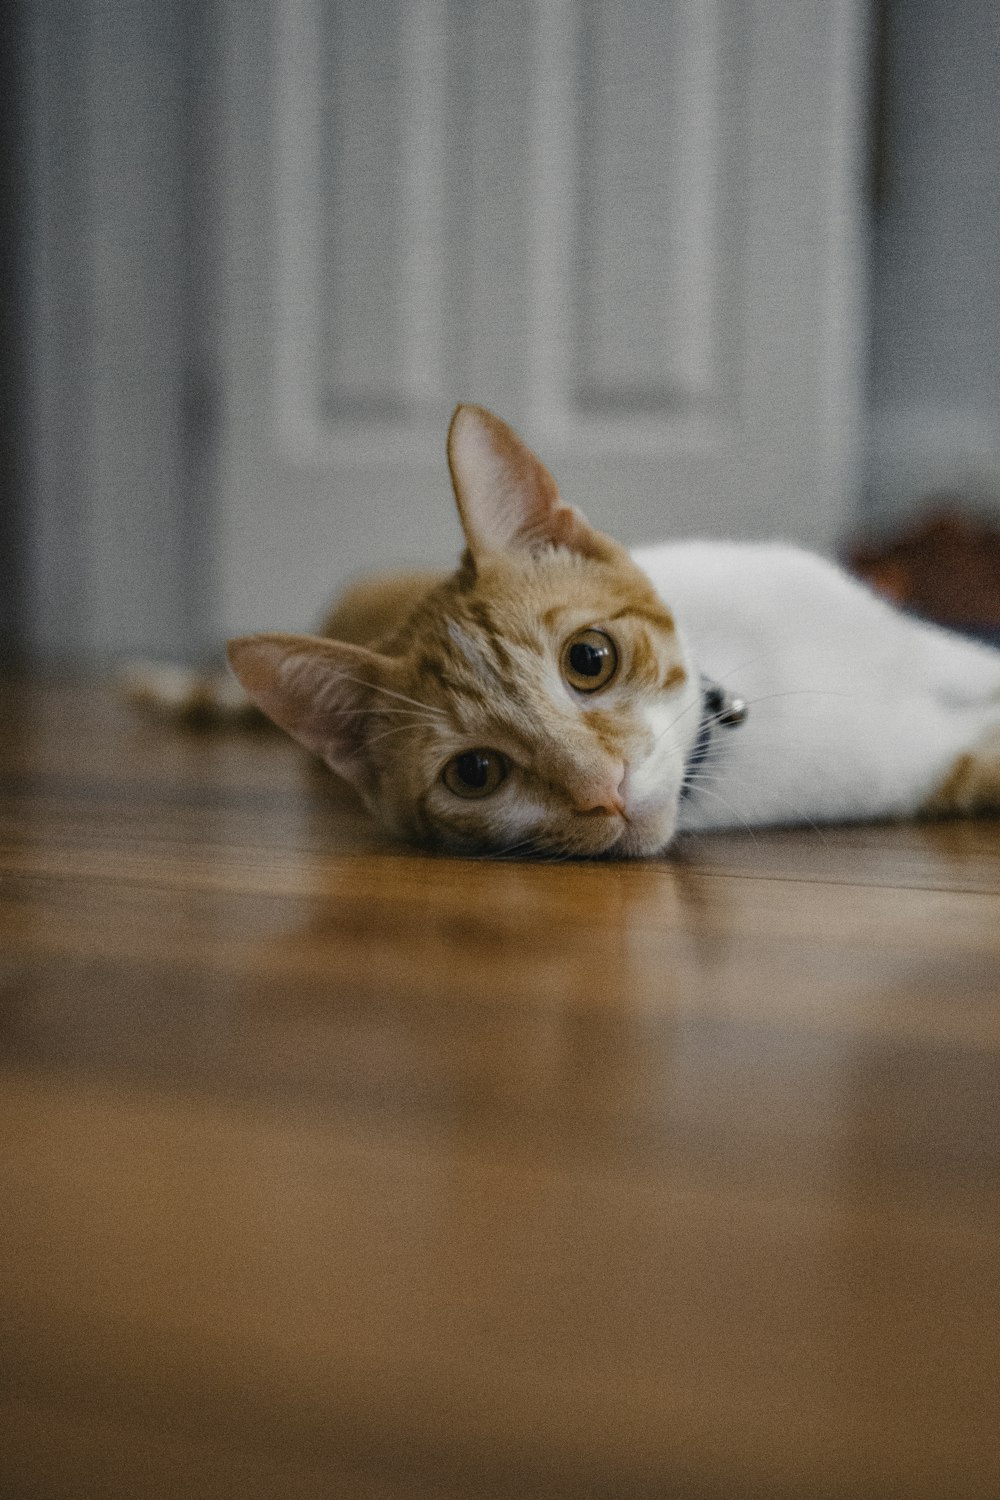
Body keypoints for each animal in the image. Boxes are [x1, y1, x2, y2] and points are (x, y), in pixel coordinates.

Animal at [226, 405, 1000, 864]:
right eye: (475, 773)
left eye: (589, 658)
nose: (604, 788)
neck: (748, 694)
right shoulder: (925, 766)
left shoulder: (926, 648)